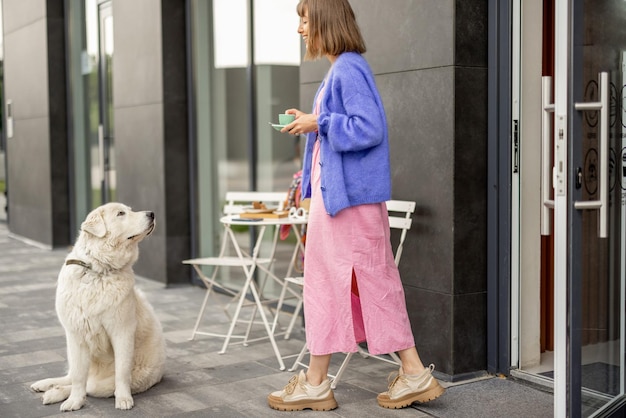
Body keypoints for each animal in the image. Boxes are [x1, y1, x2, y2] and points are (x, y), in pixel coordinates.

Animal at [30, 202, 165, 412]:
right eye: (121, 213)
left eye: (129, 210)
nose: (151, 214)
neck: (98, 270)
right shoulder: (75, 334)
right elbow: (78, 377)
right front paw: (75, 401)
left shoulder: (122, 331)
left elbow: (122, 371)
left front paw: (123, 399)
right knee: (73, 377)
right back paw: (46, 385)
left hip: (109, 383)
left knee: (91, 385)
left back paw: (54, 392)